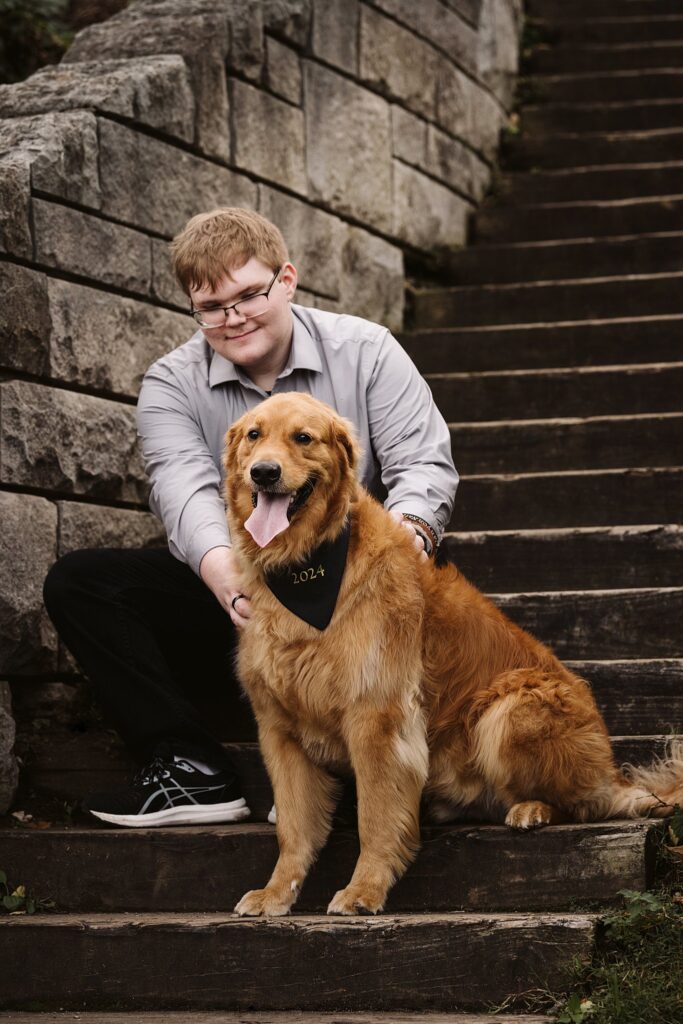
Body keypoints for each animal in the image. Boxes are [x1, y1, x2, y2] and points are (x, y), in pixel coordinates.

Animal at [224, 393, 683, 921]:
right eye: (255, 434)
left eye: (303, 437)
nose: (264, 472)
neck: (305, 570)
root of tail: (609, 773)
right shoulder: (280, 729)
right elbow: (294, 830)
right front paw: (276, 892)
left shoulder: (378, 719)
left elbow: (374, 819)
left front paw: (364, 890)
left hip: (510, 710)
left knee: (583, 802)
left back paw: (533, 809)